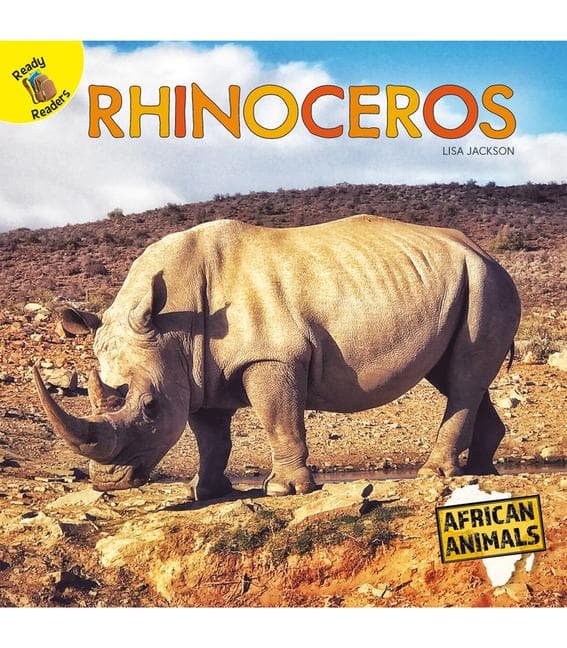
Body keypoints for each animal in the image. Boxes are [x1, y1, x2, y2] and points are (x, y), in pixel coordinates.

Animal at [34, 215, 521, 498]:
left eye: (150, 407)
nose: (107, 482)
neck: (172, 325)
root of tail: (482, 251)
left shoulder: (271, 357)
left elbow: (278, 418)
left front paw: (285, 490)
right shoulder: (194, 373)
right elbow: (211, 435)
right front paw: (204, 492)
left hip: (487, 282)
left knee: (463, 376)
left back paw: (435, 475)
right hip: (467, 282)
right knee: (456, 375)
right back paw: (482, 471)